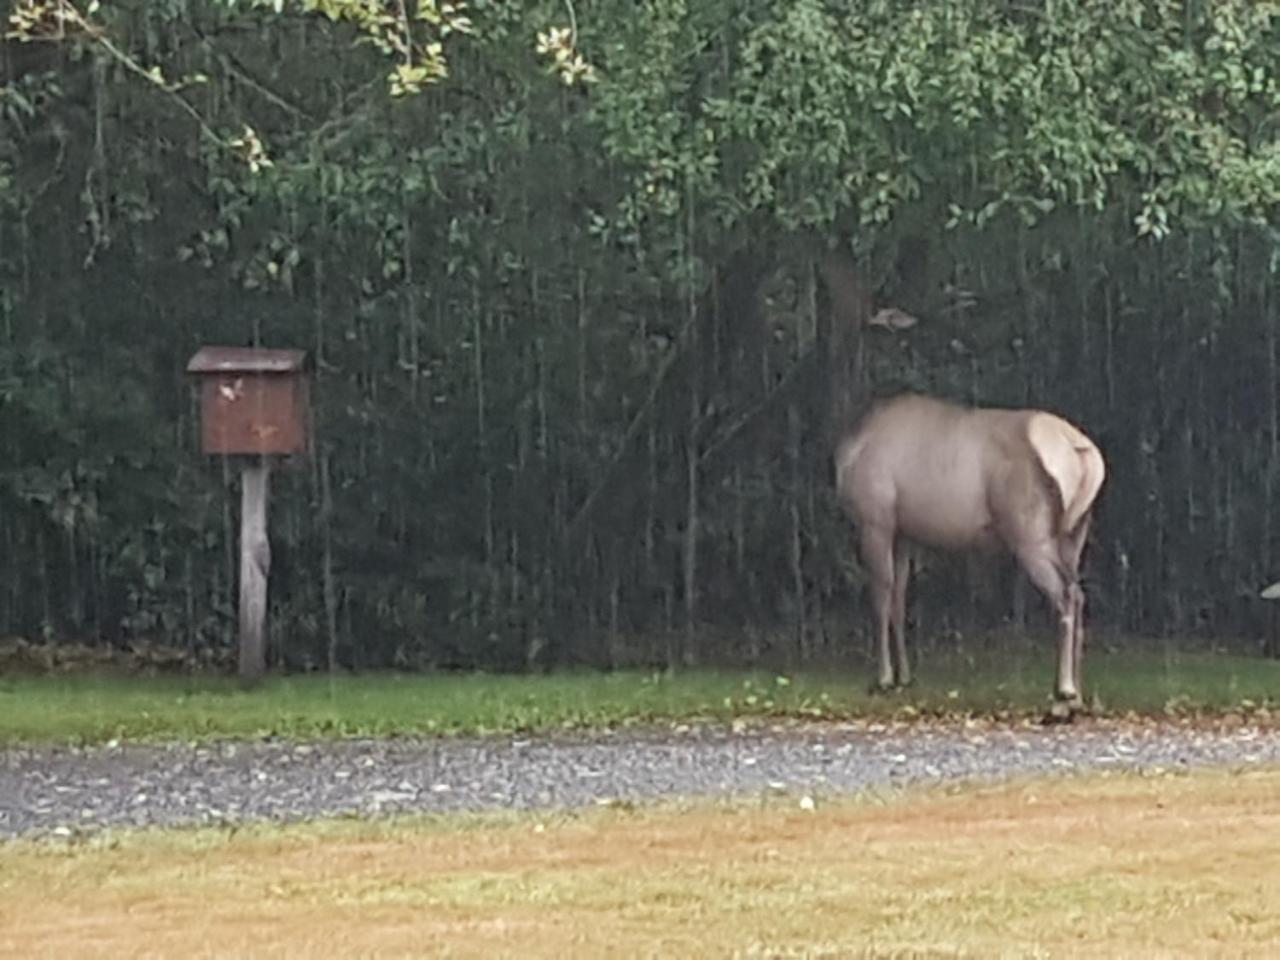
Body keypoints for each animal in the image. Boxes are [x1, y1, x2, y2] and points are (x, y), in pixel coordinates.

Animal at [834, 394, 1105, 711]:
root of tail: (1083, 454)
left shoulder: (876, 520)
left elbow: (880, 600)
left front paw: (885, 679)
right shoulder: (904, 533)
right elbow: (899, 601)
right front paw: (905, 677)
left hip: (1030, 534)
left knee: (1064, 595)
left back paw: (1065, 689)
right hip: (1075, 534)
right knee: (1078, 593)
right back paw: (1078, 692)